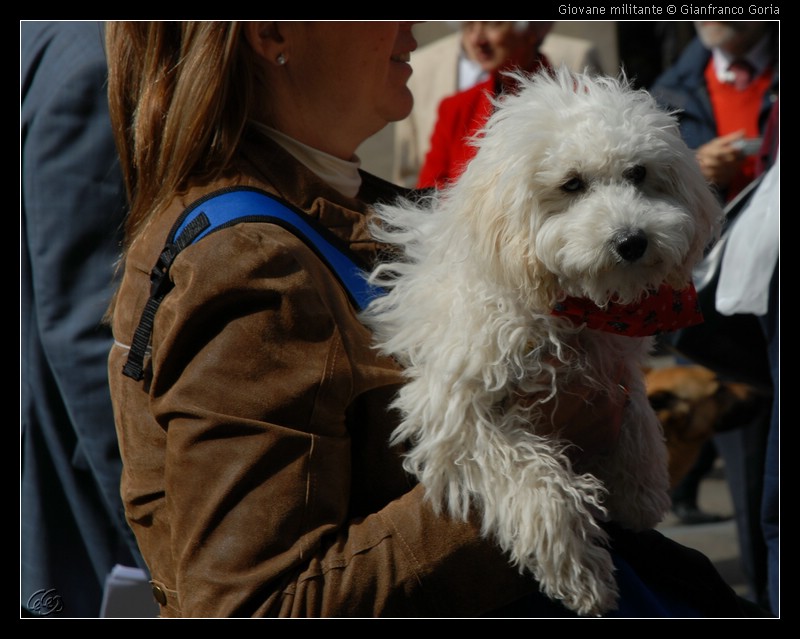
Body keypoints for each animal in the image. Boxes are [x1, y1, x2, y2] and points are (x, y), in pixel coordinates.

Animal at [362, 69, 724, 616]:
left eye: (639, 173)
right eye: (571, 184)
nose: (631, 241)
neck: (566, 307)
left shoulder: (612, 363)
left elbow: (637, 408)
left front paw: (641, 487)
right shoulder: (459, 413)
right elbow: (534, 480)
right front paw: (580, 570)